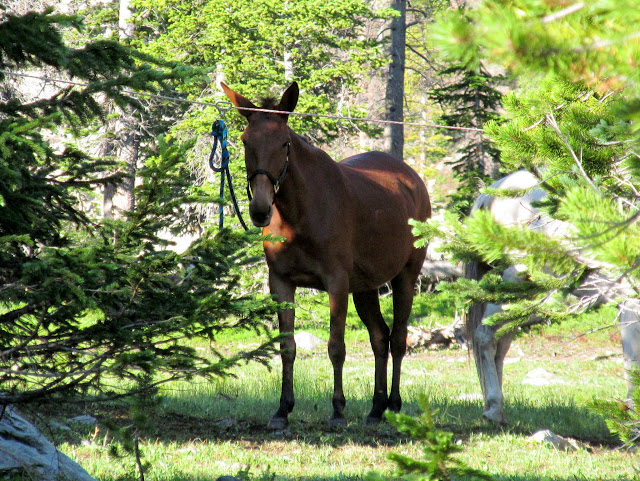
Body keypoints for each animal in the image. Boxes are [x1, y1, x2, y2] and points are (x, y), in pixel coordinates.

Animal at [464, 170, 640, 424]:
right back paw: (494, 409)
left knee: (500, 342)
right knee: (485, 336)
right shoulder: (631, 304)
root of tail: (492, 192)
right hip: (516, 281)